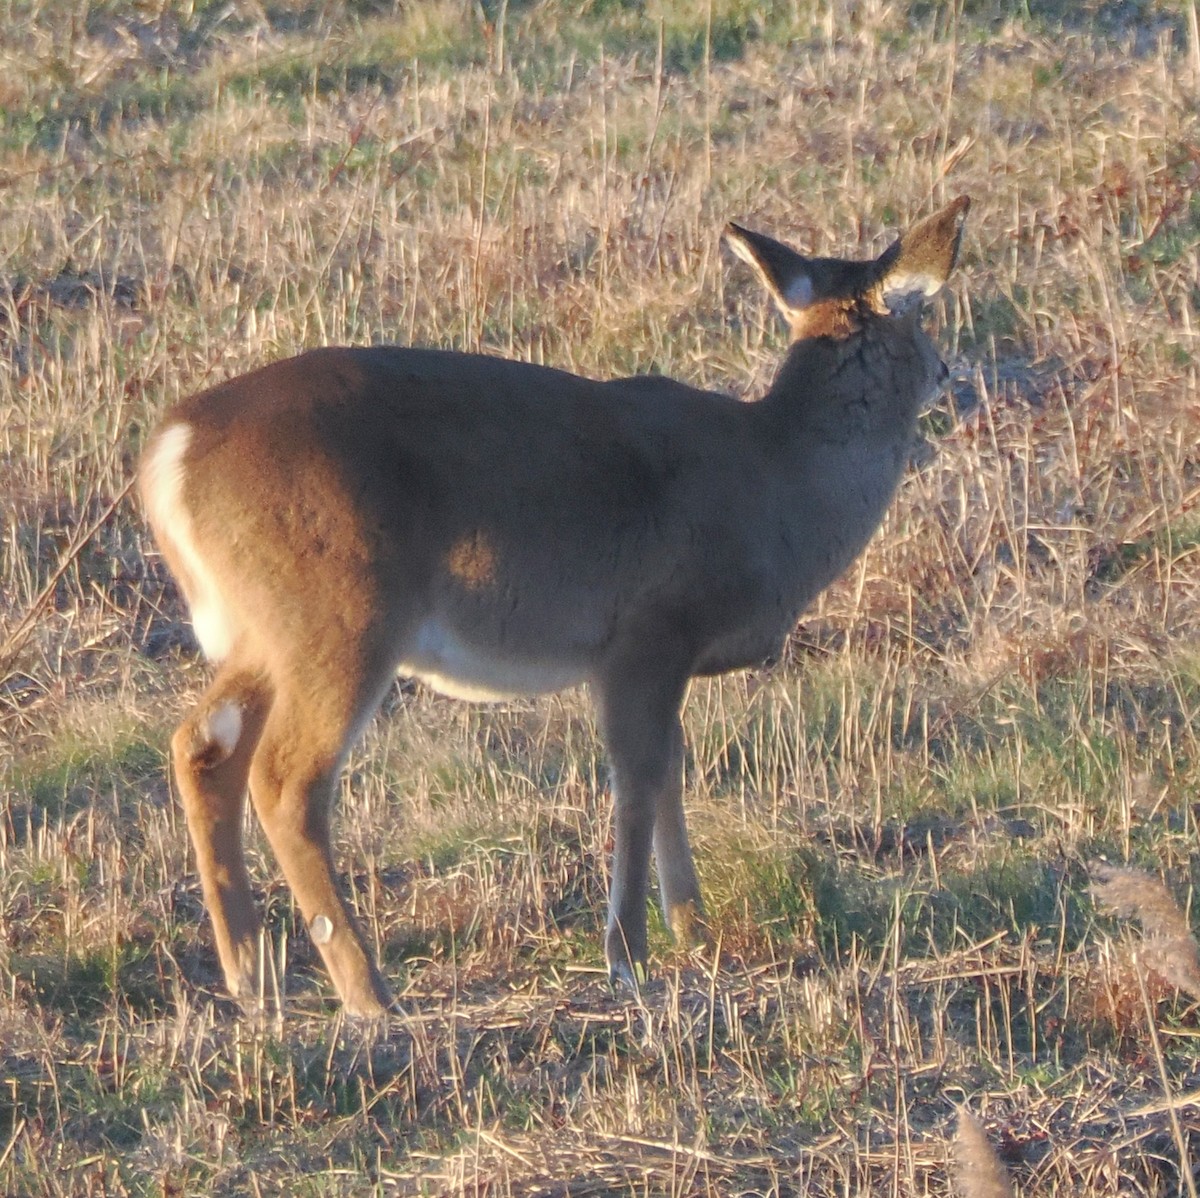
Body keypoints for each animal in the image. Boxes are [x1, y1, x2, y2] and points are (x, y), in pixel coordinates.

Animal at [139, 197, 969, 1018]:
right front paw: (628, 954)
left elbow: (670, 767)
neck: (778, 480)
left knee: (201, 748)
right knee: (286, 780)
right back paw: (368, 993)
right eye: (924, 316)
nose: (946, 372)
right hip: (341, 611)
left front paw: (692, 930)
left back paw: (254, 979)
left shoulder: (652, 657)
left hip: (263, 630)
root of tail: (168, 453)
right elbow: (638, 777)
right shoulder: (650, 629)